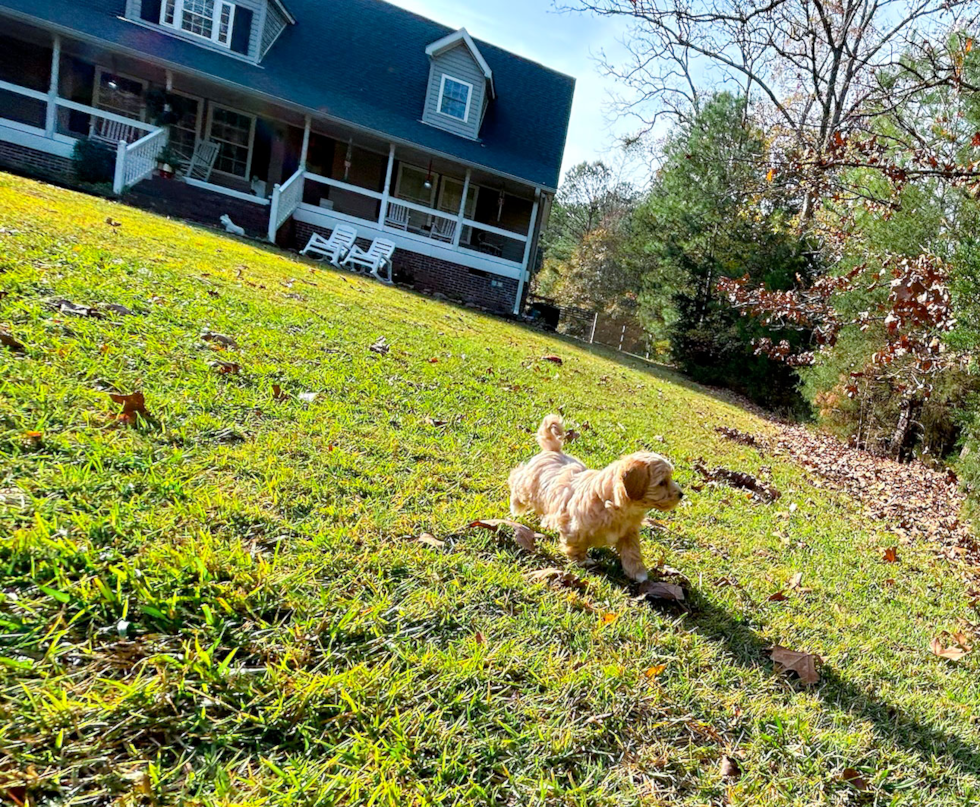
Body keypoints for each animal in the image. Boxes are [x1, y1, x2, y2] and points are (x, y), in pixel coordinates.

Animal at [510, 416, 684, 580]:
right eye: (662, 482)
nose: (681, 494)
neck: (613, 505)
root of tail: (554, 451)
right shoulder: (575, 528)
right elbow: (576, 545)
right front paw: (581, 561)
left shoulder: (629, 532)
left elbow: (632, 551)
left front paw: (638, 572)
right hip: (527, 485)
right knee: (516, 476)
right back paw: (515, 506)